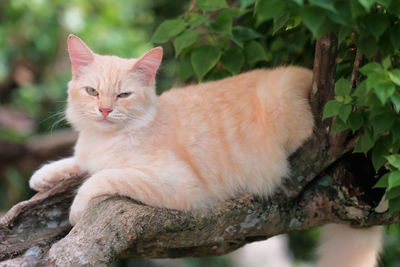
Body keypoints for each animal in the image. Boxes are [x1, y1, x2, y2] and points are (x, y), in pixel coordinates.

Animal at [28, 35, 382, 267]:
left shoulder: (177, 183)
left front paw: (75, 209)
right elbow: (78, 162)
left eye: (123, 95)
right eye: (92, 91)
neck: (107, 137)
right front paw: (44, 176)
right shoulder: (88, 153)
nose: (103, 110)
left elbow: (99, 179)